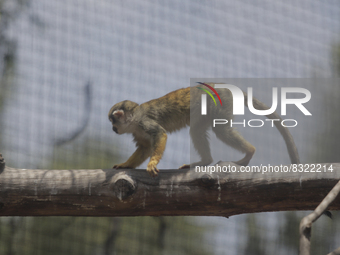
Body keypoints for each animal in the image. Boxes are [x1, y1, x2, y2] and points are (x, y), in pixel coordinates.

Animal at [109, 83, 300, 175]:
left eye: (112, 121)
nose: (112, 129)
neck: (134, 119)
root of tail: (222, 86)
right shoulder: (137, 130)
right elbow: (145, 147)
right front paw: (126, 165)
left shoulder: (144, 122)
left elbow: (160, 134)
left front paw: (152, 163)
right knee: (197, 130)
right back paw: (205, 161)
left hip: (219, 103)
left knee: (221, 130)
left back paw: (250, 152)